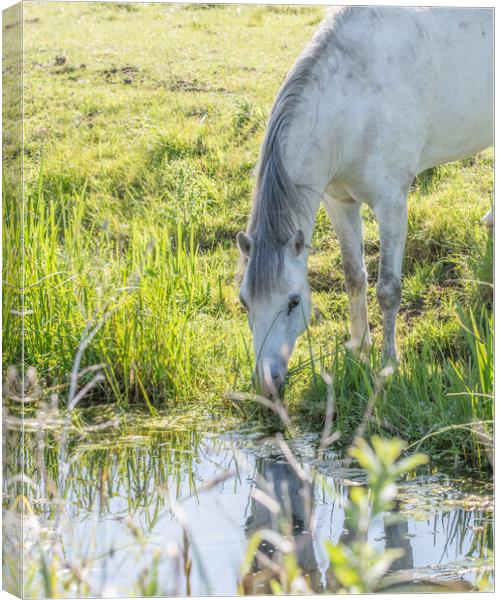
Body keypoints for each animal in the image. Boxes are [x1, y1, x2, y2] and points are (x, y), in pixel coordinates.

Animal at [237, 7, 492, 398]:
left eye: (293, 301)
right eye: (244, 301)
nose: (267, 381)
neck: (350, 103)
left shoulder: (392, 204)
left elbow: (388, 289)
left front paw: (389, 363)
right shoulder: (338, 202)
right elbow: (354, 276)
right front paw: (358, 347)